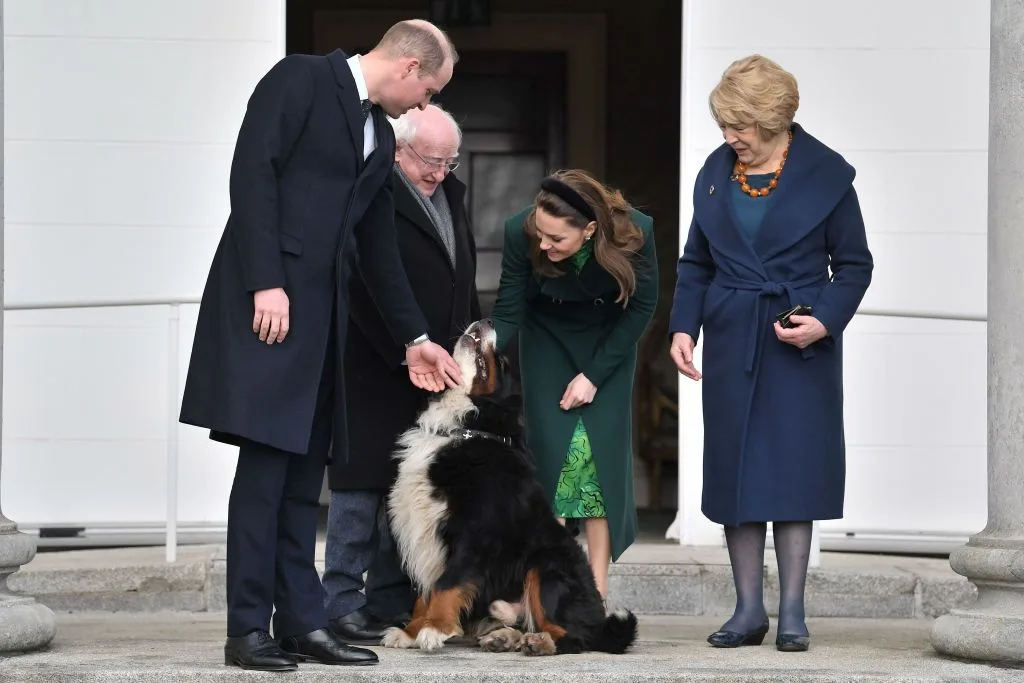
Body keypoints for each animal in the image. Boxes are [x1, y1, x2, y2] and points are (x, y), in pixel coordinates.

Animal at [385, 319, 638, 655]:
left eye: (503, 363)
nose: (488, 320)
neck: (466, 428)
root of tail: (601, 623)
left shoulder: (474, 533)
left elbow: (445, 584)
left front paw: (434, 629)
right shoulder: (426, 531)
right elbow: (424, 592)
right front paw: (411, 631)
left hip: (547, 564)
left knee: (573, 636)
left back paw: (539, 642)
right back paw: (503, 637)